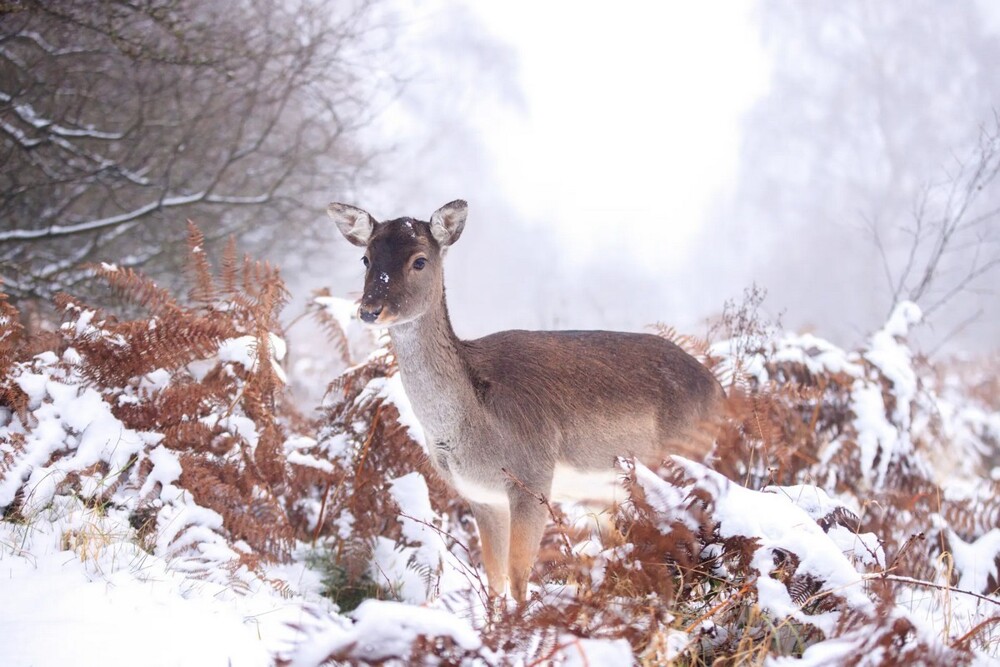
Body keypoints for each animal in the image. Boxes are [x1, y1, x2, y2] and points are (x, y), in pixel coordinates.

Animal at [332, 200, 724, 604]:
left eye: (420, 260)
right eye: (366, 257)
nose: (369, 309)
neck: (475, 428)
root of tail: (719, 389)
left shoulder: (533, 477)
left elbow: (520, 578)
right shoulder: (481, 497)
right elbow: (494, 579)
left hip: (685, 458)